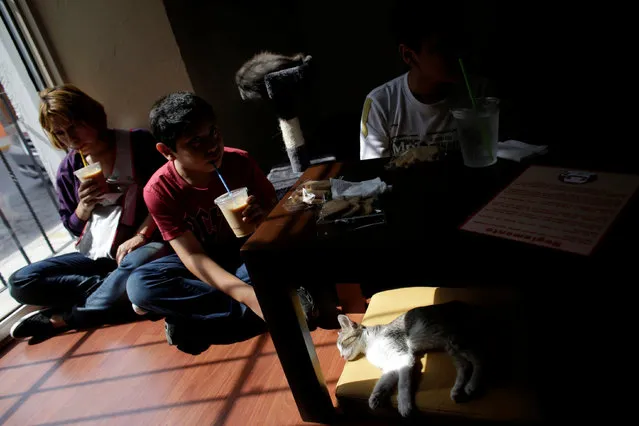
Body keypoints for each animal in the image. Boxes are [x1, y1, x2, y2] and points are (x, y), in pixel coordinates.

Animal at [338, 302, 482, 418]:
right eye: (338, 348)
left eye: (343, 343)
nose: (341, 356)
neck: (369, 346)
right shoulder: (391, 366)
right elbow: (383, 382)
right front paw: (376, 397)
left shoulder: (403, 356)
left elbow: (403, 384)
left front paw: (404, 405)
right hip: (451, 348)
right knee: (465, 366)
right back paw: (457, 391)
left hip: (457, 341)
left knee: (479, 360)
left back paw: (472, 385)